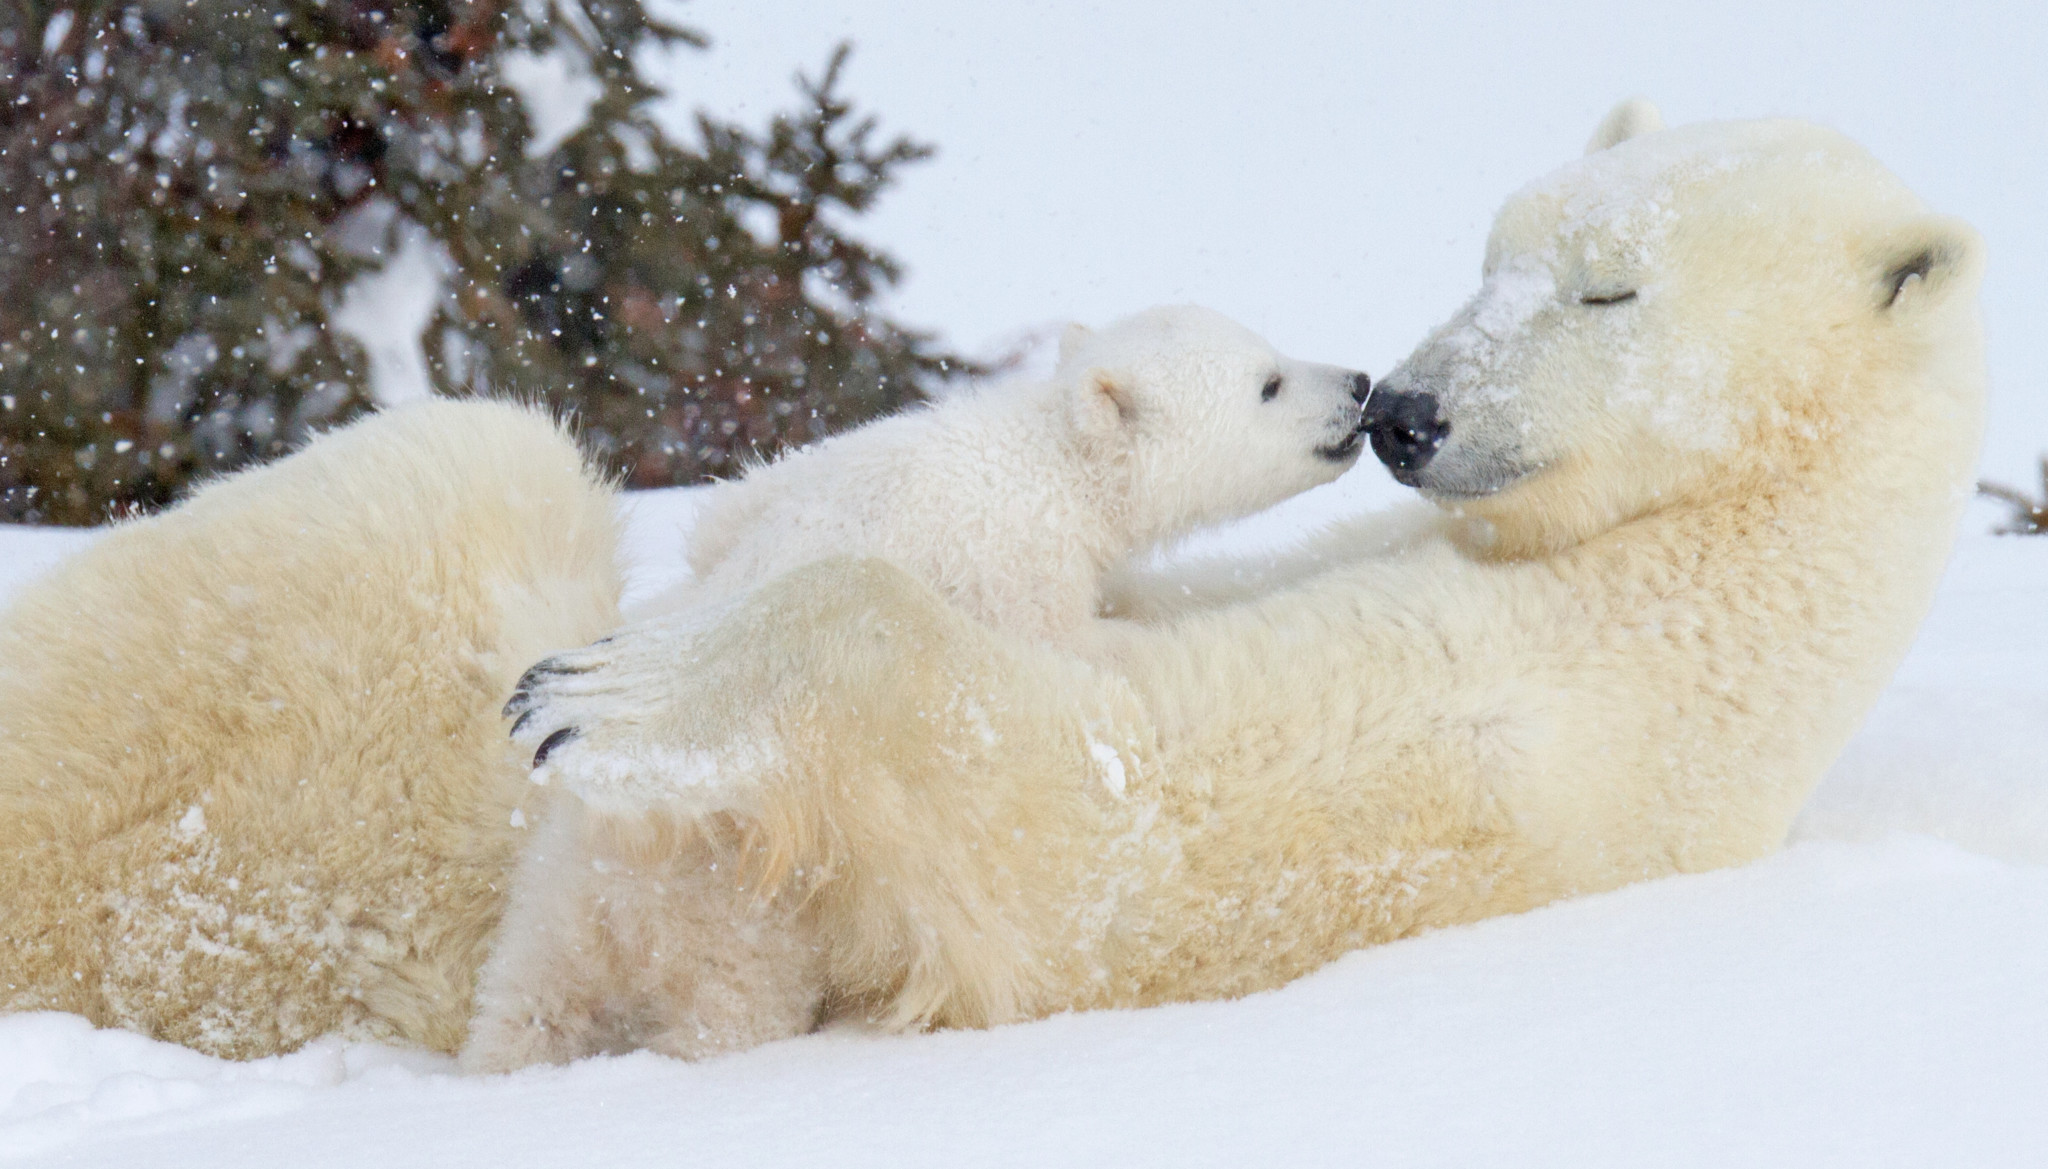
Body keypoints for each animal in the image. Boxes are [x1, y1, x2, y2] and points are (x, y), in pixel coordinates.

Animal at [460, 307, 1359, 1072]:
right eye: (1269, 382)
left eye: (1271, 351)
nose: (1358, 384)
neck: (1043, 458)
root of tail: (610, 915)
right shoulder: (1006, 562)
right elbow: (1057, 658)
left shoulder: (808, 470)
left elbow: (728, 515)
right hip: (739, 913)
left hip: (552, 911)